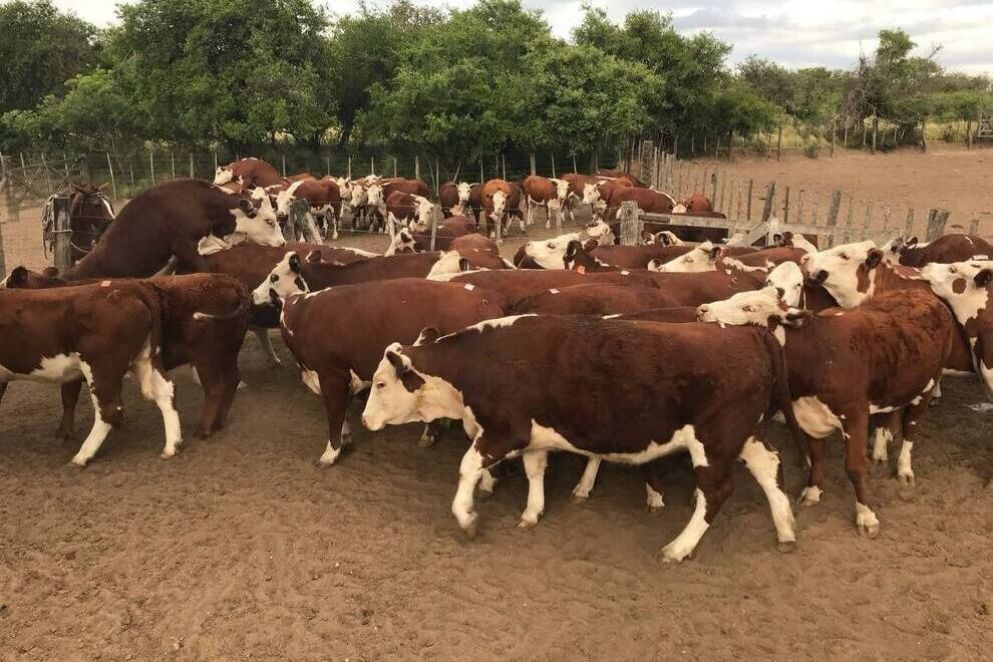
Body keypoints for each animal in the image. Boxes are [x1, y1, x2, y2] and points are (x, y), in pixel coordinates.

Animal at [360, 314, 804, 564]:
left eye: (380, 384)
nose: (364, 419)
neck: (479, 361)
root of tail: (748, 333)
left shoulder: (505, 430)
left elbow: (468, 467)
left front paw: (467, 518)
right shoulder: (535, 436)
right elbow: (535, 471)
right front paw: (532, 512)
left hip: (713, 441)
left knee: (716, 492)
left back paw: (679, 548)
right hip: (743, 435)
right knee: (770, 466)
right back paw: (785, 530)